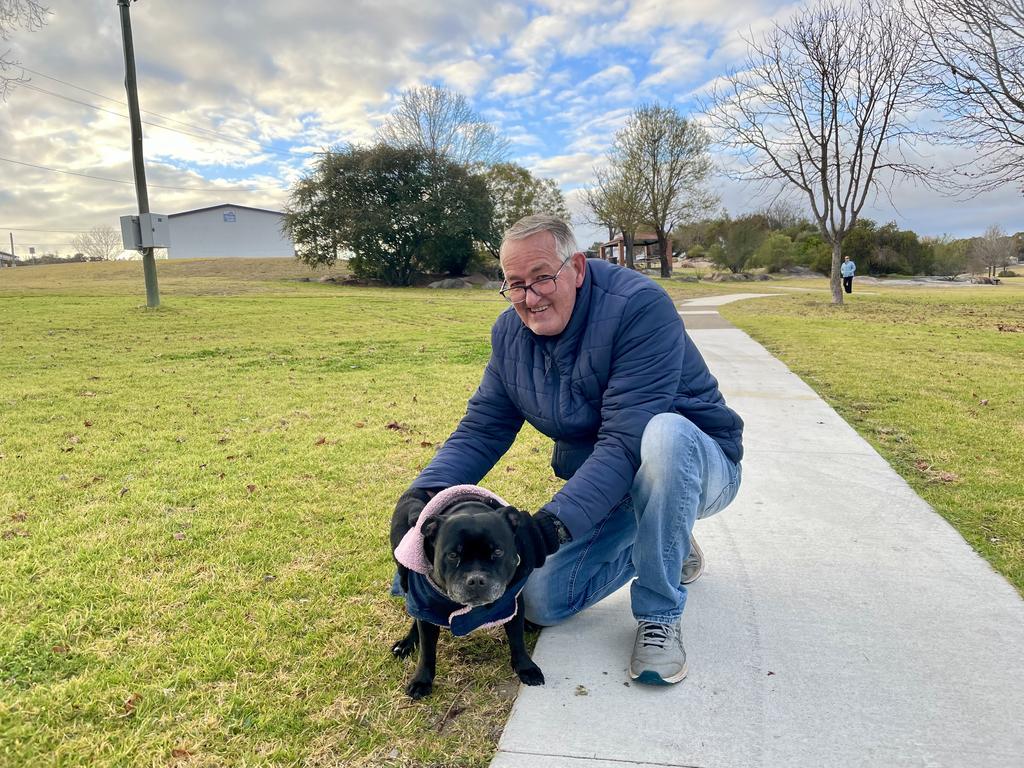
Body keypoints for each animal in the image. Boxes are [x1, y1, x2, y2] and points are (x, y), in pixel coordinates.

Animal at [387, 495, 544, 700]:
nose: (476, 579)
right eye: (453, 555)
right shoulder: (426, 605)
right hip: (406, 578)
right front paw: (421, 680)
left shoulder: (513, 598)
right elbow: (427, 650)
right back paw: (407, 643)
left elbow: (517, 639)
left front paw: (526, 668)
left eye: (498, 552)